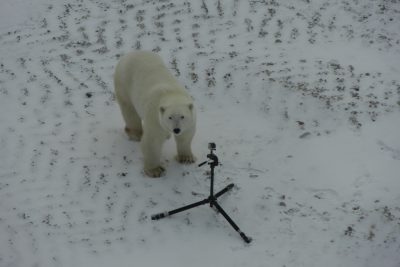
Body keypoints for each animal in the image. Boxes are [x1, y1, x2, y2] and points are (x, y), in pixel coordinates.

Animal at [113, 51, 196, 179]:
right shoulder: (155, 118)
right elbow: (152, 142)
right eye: (170, 117)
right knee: (129, 110)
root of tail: (131, 53)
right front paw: (155, 170)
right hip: (124, 83)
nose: (176, 129)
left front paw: (186, 158)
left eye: (182, 117)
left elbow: (185, 136)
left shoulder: (189, 121)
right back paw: (136, 134)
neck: (171, 94)